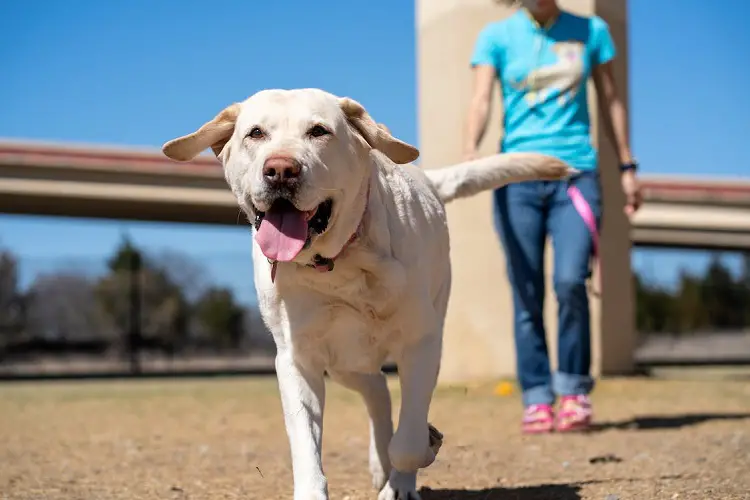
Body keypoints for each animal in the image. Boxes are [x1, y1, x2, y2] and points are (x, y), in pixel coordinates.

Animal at [164, 88, 572, 498]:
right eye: (256, 133)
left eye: (319, 131)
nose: (280, 169)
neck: (335, 264)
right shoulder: (298, 358)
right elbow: (306, 441)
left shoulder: (421, 344)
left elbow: (408, 442)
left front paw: (418, 455)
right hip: (344, 361)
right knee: (378, 391)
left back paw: (400, 479)